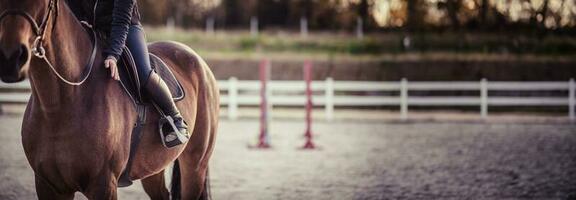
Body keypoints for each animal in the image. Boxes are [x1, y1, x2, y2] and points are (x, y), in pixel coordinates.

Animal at [0, 0, 219, 199]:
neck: (60, 103)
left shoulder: (103, 184)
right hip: (153, 167)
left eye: (43, 2)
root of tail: (199, 62)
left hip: (195, 165)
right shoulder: (48, 185)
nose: (10, 58)